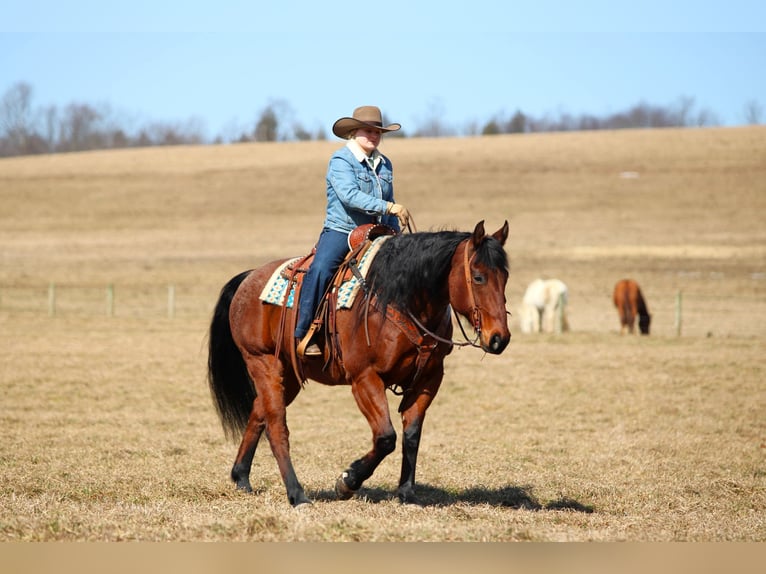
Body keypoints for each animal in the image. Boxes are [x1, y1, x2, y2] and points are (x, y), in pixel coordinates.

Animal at [207, 220, 511, 507]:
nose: (499, 338)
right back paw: (297, 494)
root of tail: (248, 278)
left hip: (288, 374)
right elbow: (386, 437)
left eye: (505, 276)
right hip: (262, 362)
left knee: (259, 412)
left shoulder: (429, 378)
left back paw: (241, 477)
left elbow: (412, 435)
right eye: (478, 276)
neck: (401, 298)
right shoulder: (365, 378)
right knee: (276, 424)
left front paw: (406, 493)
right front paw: (347, 481)